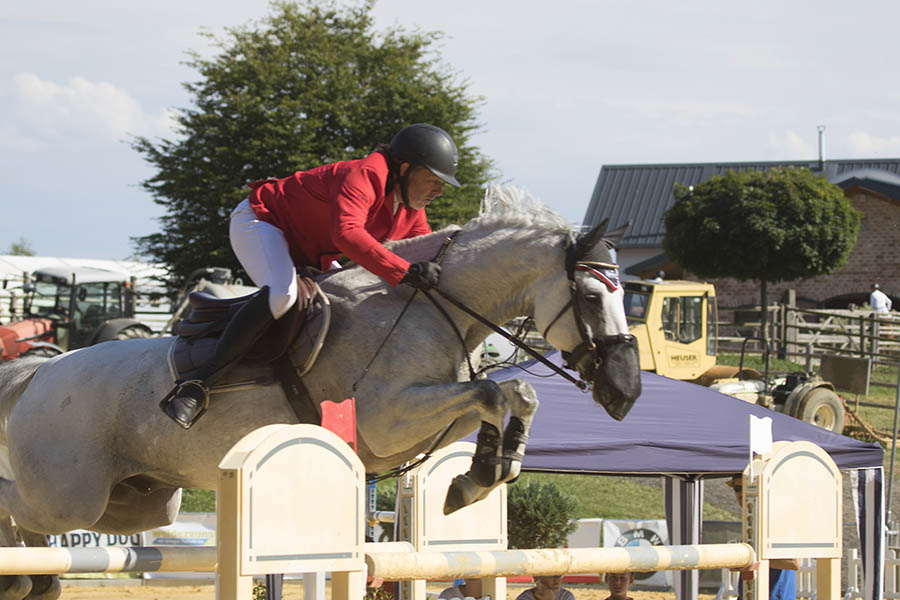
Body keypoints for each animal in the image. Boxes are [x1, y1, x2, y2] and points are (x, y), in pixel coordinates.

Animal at [0, 186, 640, 596]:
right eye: (590, 297)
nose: (627, 393)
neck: (431, 306)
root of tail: (40, 373)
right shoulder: (387, 418)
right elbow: (493, 393)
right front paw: (482, 473)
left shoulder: (422, 418)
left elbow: (510, 396)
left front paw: (479, 476)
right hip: (70, 495)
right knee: (17, 505)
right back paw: (27, 575)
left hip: (142, 501)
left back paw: (40, 579)